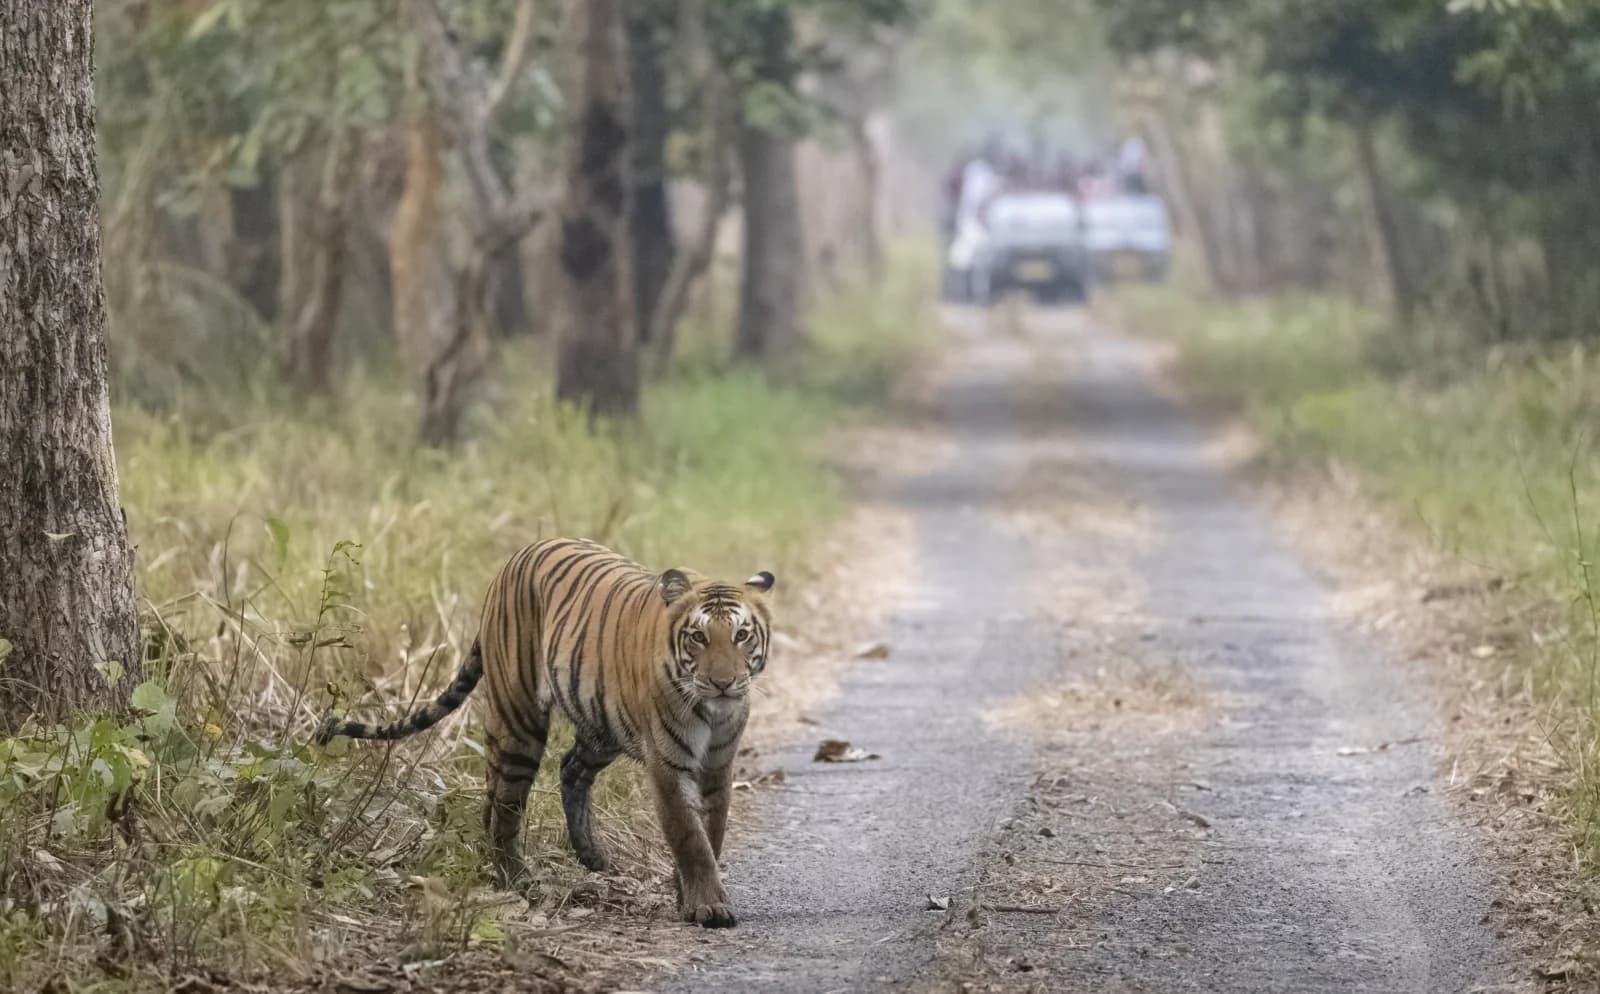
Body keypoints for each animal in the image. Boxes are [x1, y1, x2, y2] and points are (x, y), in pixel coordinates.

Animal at [315, 538, 775, 929]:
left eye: (741, 635)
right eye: (698, 637)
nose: (723, 683)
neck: (714, 711)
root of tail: (513, 560)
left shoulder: (718, 764)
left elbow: (712, 831)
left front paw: (690, 895)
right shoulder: (668, 764)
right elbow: (690, 836)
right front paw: (707, 906)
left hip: (602, 725)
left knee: (568, 768)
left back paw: (590, 855)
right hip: (519, 720)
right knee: (504, 804)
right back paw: (517, 880)